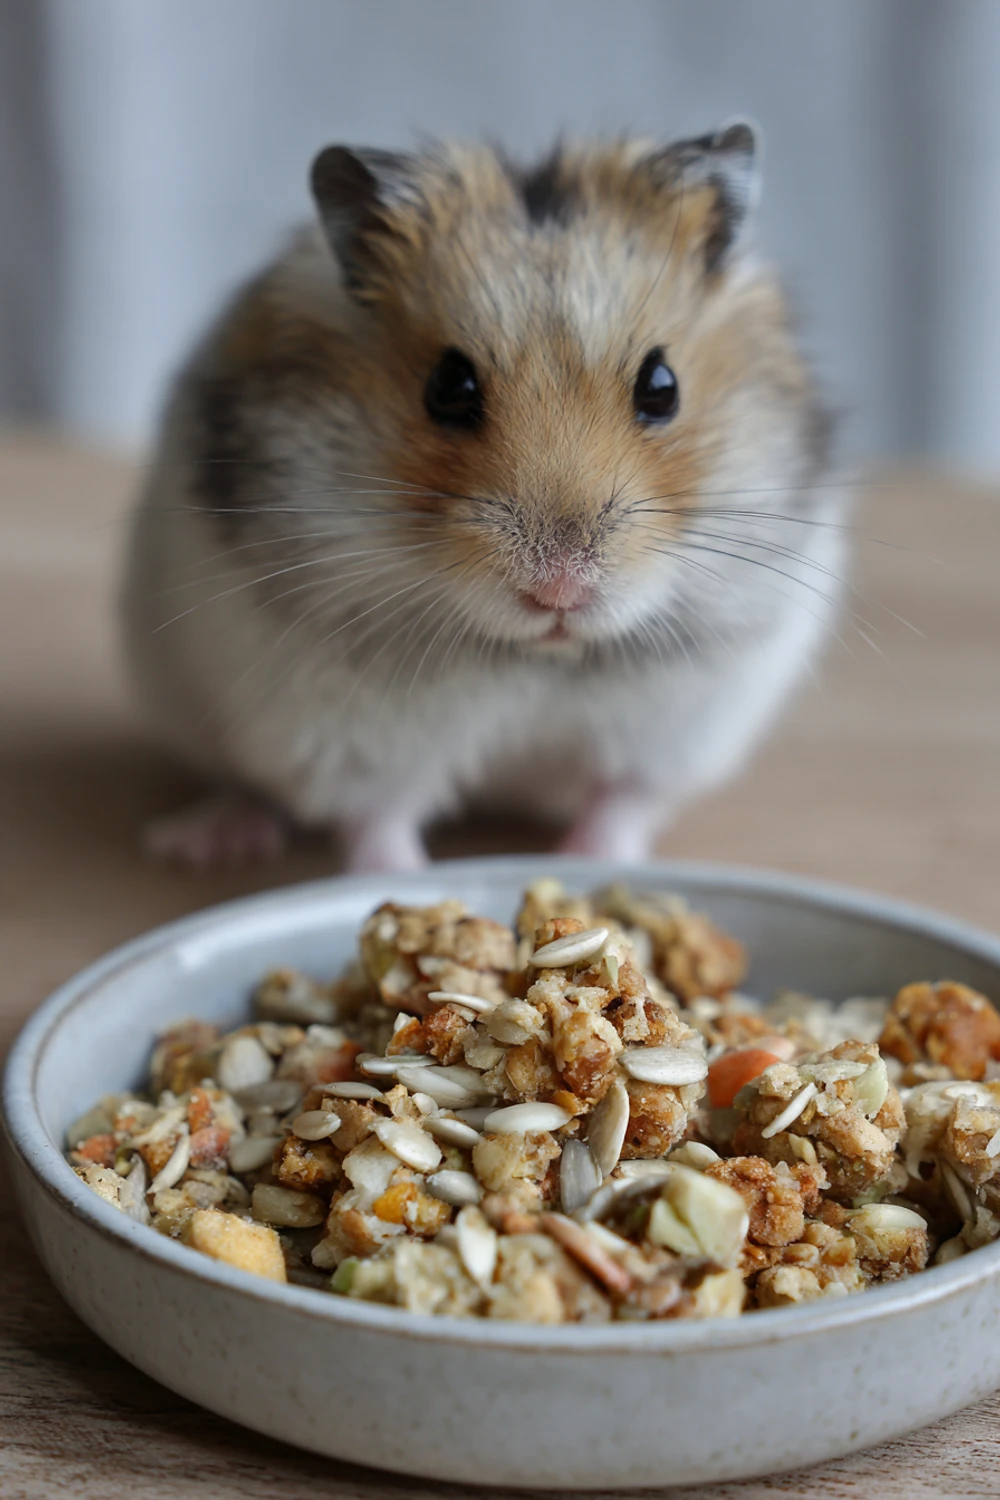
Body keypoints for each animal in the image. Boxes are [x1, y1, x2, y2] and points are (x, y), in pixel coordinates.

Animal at [123, 123, 843, 871]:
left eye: (662, 385)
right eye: (447, 387)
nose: (560, 590)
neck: (531, 656)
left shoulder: (675, 730)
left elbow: (619, 801)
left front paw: (588, 864)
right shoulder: (341, 739)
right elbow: (376, 819)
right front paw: (399, 877)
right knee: (244, 785)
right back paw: (202, 842)